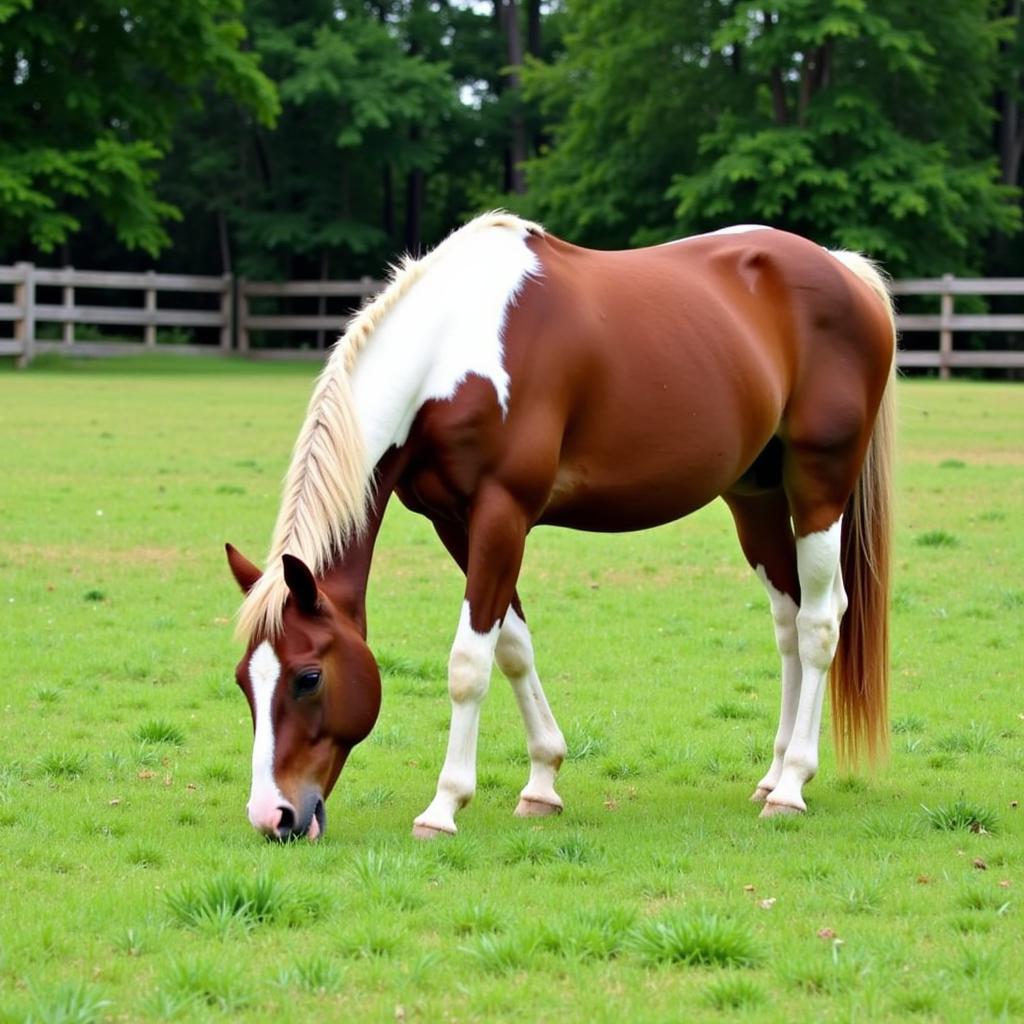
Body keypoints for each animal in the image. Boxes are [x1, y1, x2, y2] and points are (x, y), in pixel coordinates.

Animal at [222, 211, 888, 843]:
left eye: (308, 678)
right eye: (242, 682)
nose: (272, 816)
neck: (450, 349)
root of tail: (844, 269)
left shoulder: (503, 513)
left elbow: (470, 662)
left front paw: (443, 807)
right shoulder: (454, 522)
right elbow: (512, 647)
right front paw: (542, 782)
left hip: (819, 487)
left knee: (819, 623)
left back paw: (792, 787)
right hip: (755, 496)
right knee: (787, 620)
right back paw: (772, 775)